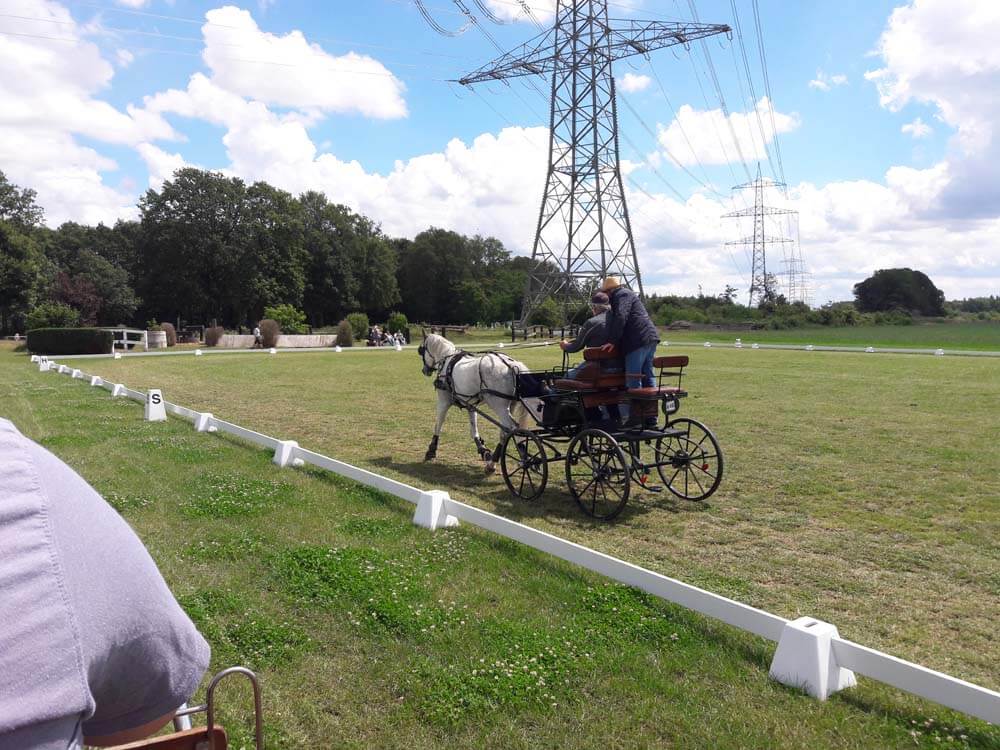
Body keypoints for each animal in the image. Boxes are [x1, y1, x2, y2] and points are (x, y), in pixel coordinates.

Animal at [418, 336, 536, 472]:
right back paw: (494, 462)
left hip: (499, 406)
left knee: (511, 429)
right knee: (506, 431)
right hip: (511, 405)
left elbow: (438, 425)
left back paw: (515, 461)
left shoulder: (443, 401)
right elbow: (473, 429)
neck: (447, 360)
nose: (424, 370)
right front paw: (482, 450)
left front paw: (431, 450)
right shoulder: (471, 405)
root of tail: (512, 365)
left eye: (421, 350)